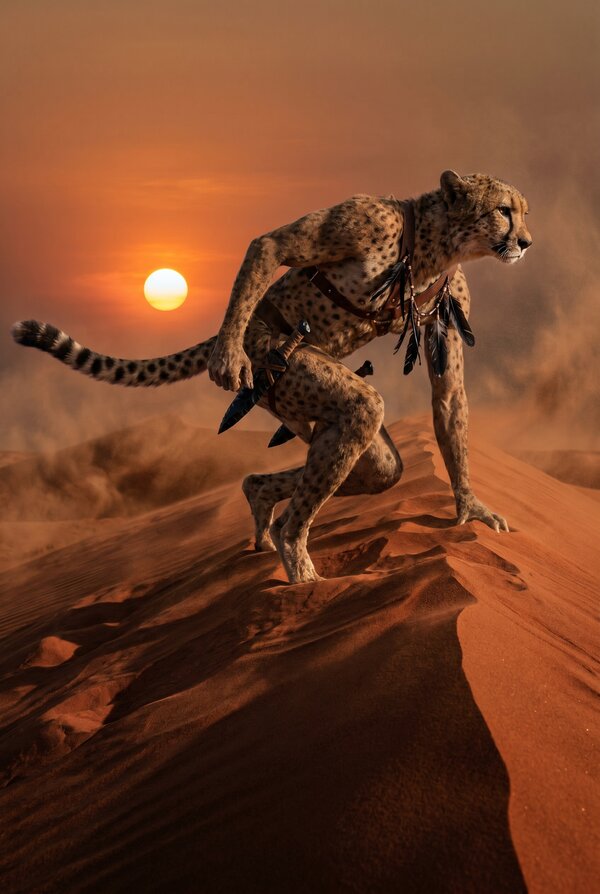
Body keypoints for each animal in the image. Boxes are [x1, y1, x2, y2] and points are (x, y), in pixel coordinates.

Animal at [11, 170, 532, 584]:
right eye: (503, 210)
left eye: (522, 212)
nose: (526, 241)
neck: (431, 246)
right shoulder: (361, 218)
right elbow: (270, 243)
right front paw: (224, 360)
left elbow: (449, 397)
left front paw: (470, 507)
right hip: (277, 366)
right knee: (361, 410)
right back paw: (298, 563)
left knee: (372, 467)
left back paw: (263, 504)